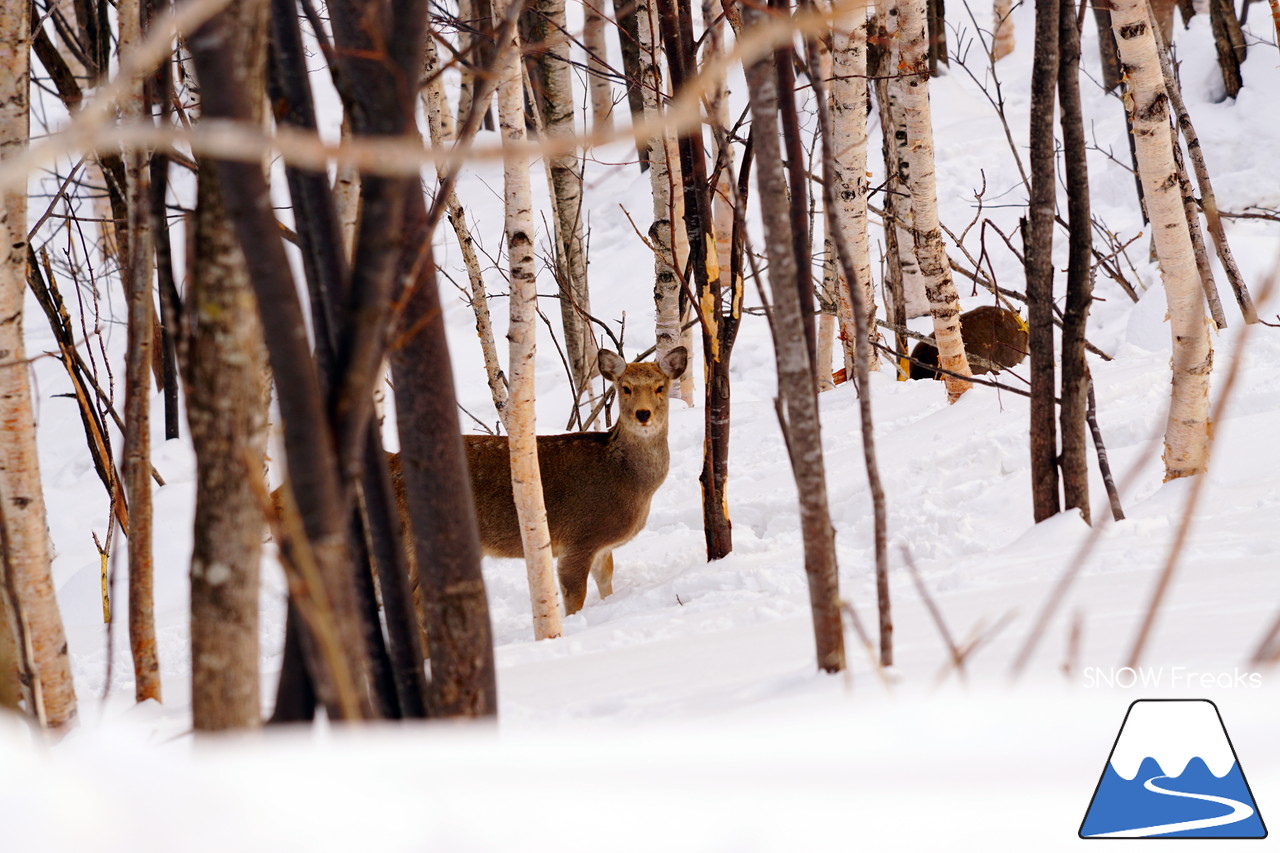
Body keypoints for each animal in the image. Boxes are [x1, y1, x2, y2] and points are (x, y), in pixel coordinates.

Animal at [389, 343, 691, 614]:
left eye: (660, 387)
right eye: (625, 388)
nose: (643, 413)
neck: (628, 480)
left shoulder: (602, 547)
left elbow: (606, 581)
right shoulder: (580, 537)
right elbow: (574, 594)